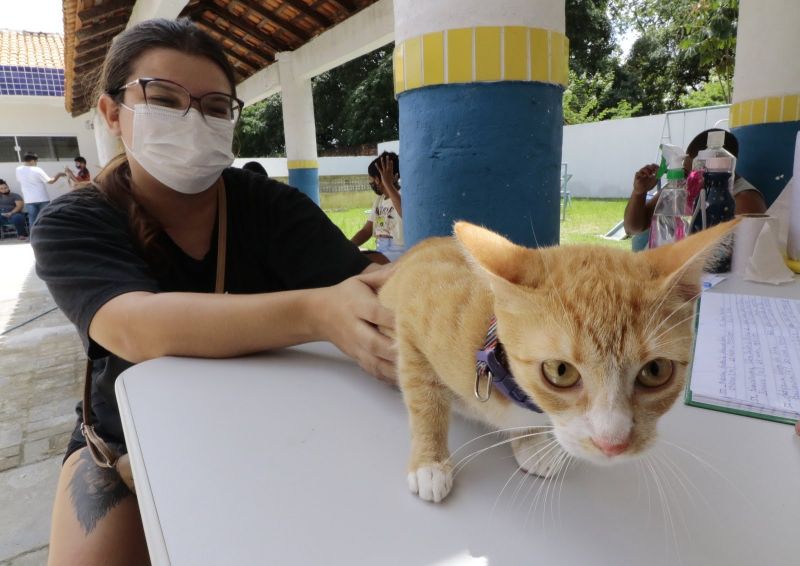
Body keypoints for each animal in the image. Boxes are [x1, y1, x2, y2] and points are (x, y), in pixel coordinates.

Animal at [380, 220, 736, 504]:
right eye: (560, 371)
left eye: (656, 371)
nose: (612, 444)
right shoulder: (412, 321)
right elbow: (425, 401)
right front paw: (429, 464)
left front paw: (529, 442)